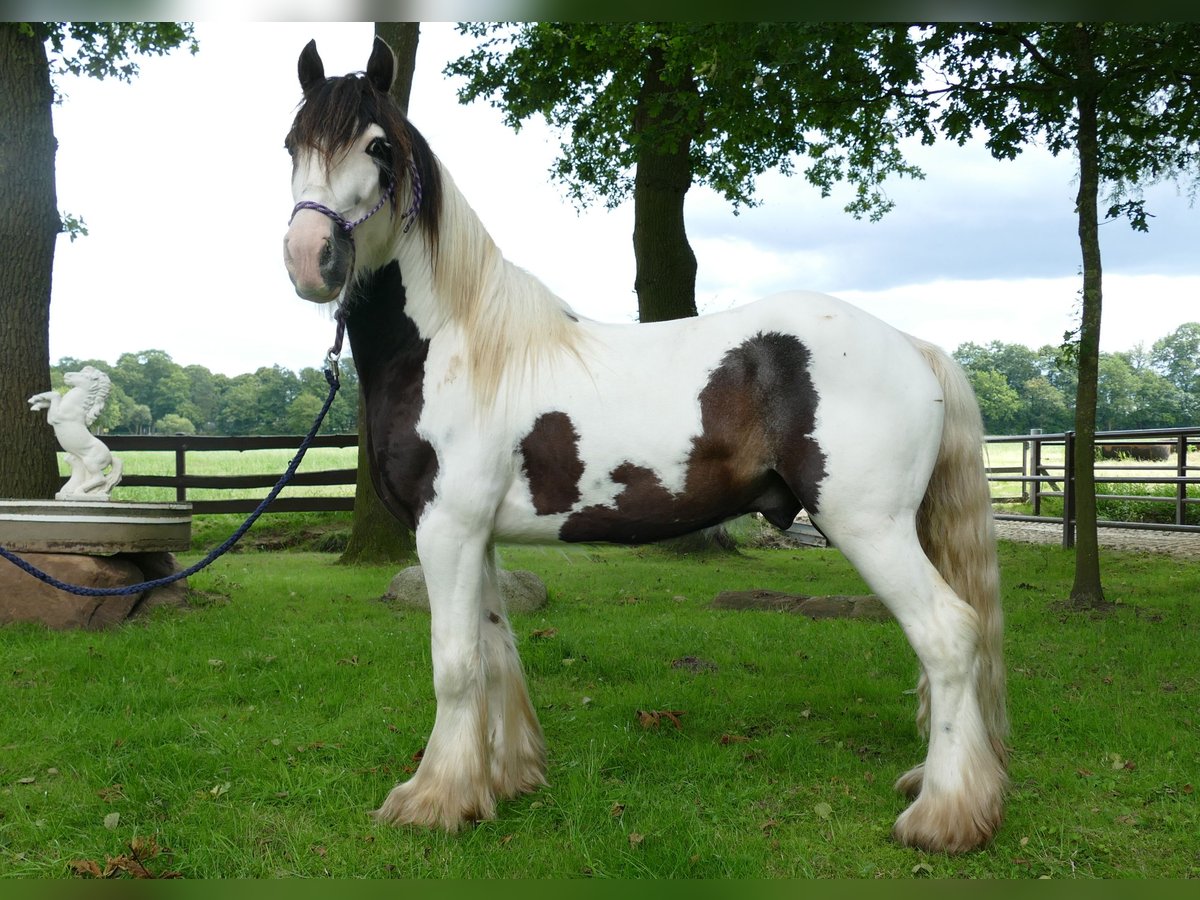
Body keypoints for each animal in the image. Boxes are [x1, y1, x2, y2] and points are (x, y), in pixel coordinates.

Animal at [285, 37, 1008, 854]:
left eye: (377, 147)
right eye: (292, 144)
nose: (309, 258)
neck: (456, 344)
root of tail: (914, 346)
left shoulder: (446, 529)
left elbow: (456, 663)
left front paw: (433, 799)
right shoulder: (477, 537)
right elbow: (496, 651)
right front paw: (502, 780)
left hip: (870, 526)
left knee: (948, 636)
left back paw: (944, 816)